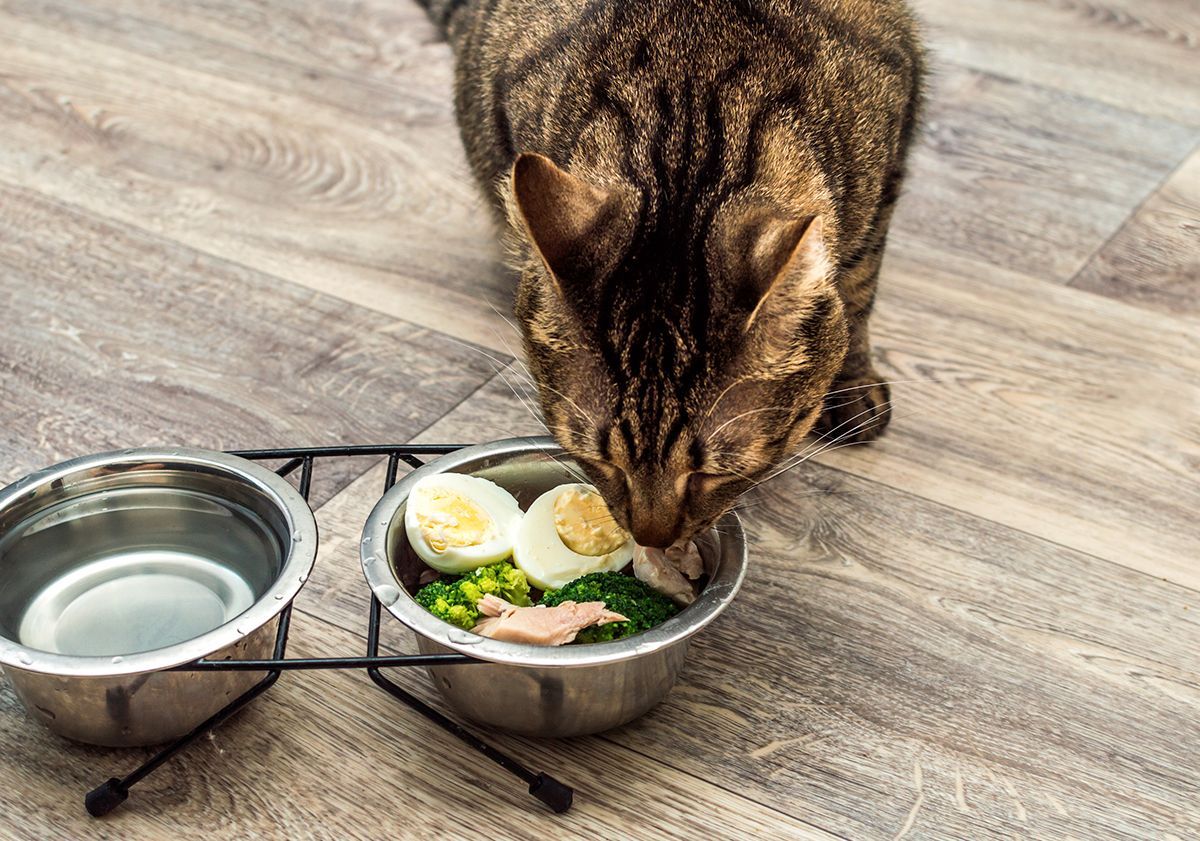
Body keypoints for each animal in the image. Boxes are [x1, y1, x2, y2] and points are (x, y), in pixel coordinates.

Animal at [417, 0, 921, 544]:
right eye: (602, 462)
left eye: (712, 473)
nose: (650, 539)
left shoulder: (888, 159)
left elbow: (860, 281)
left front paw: (854, 382)